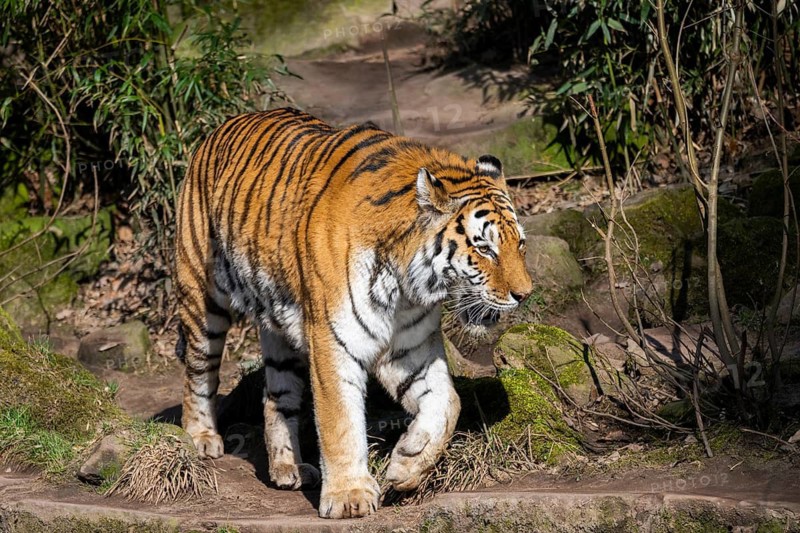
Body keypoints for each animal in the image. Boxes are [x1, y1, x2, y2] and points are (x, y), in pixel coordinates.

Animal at [174, 107, 532, 519]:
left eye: (520, 244)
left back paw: (288, 467)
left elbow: (446, 403)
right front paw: (350, 497)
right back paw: (201, 438)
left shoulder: (410, 349)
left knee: (276, 393)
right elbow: (340, 422)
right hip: (203, 300)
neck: (407, 288)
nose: (525, 294)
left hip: (280, 330)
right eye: (485, 248)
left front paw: (407, 464)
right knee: (197, 373)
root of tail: (220, 127)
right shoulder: (333, 341)